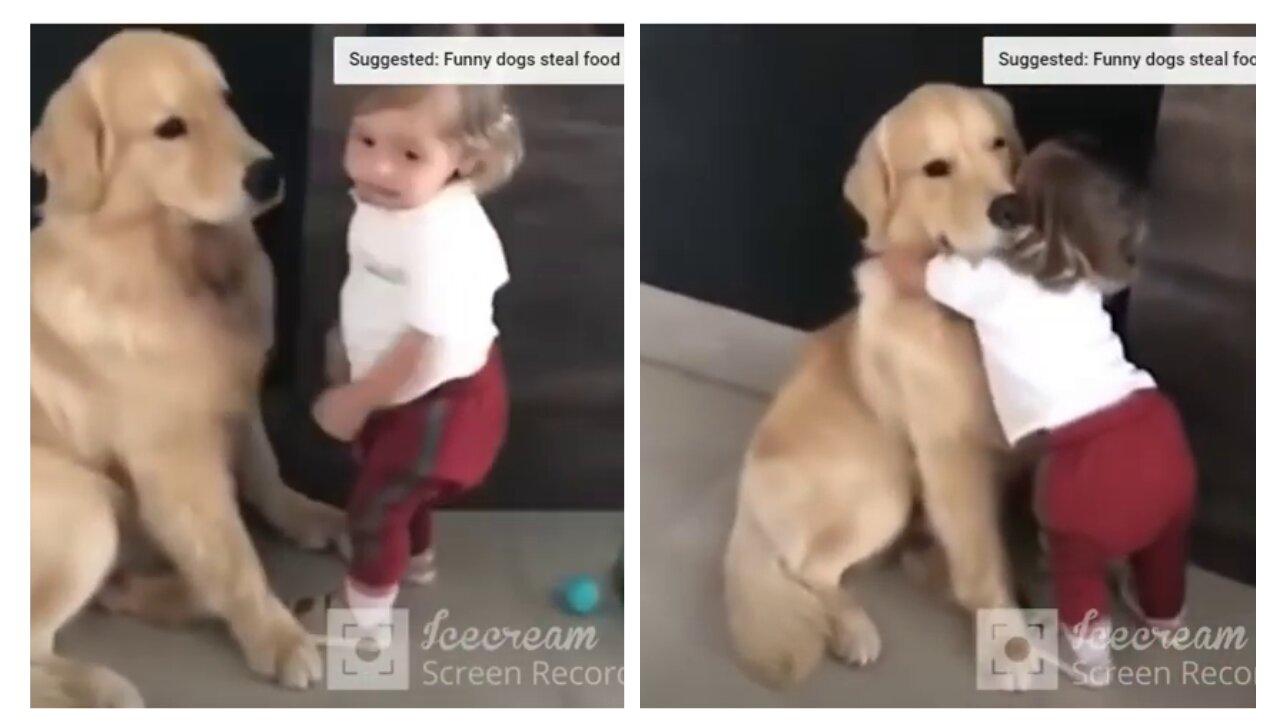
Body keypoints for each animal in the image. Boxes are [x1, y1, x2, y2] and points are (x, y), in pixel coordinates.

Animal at [31, 30, 345, 702]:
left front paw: (305, 514)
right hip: (88, 510)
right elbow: (234, 557)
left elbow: (265, 472)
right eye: (170, 128)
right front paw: (276, 637)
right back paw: (101, 687)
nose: (269, 172)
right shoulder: (177, 466)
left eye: (225, 100)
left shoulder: (233, 396)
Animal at [727, 83, 1034, 691]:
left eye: (997, 144)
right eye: (936, 168)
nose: (1010, 209)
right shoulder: (951, 456)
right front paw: (1006, 642)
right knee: (811, 569)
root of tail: (745, 499)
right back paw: (854, 628)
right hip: (885, 490)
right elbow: (983, 561)